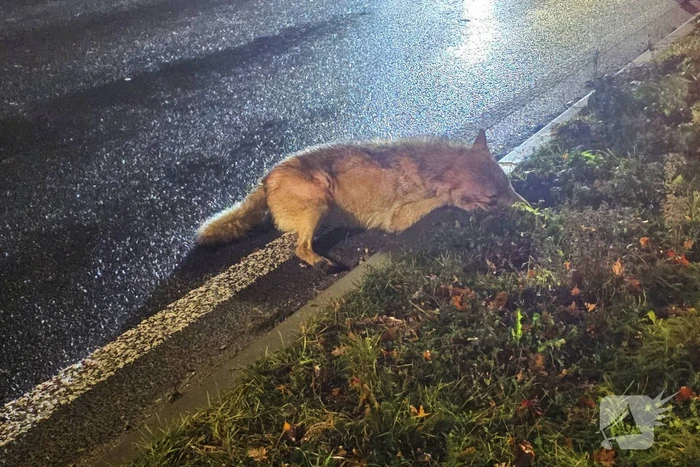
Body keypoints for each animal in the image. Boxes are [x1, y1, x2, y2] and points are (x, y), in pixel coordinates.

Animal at [196, 130, 527, 272]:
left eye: (509, 186)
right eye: (493, 197)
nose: (531, 208)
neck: (430, 167)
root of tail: (265, 178)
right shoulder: (397, 218)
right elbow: (443, 200)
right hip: (320, 202)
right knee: (299, 249)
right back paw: (321, 263)